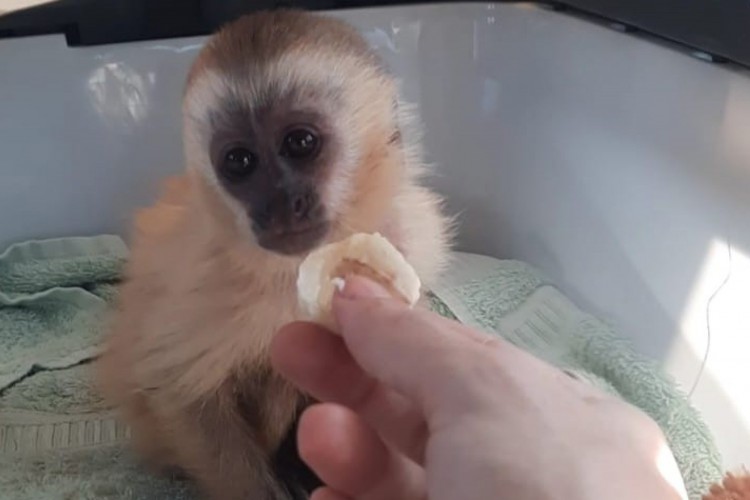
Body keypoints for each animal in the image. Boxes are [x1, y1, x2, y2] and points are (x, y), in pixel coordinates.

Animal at [96, 9, 454, 500]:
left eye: (300, 143)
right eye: (239, 162)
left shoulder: (409, 236)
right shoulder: (202, 274)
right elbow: (175, 388)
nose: (280, 203)